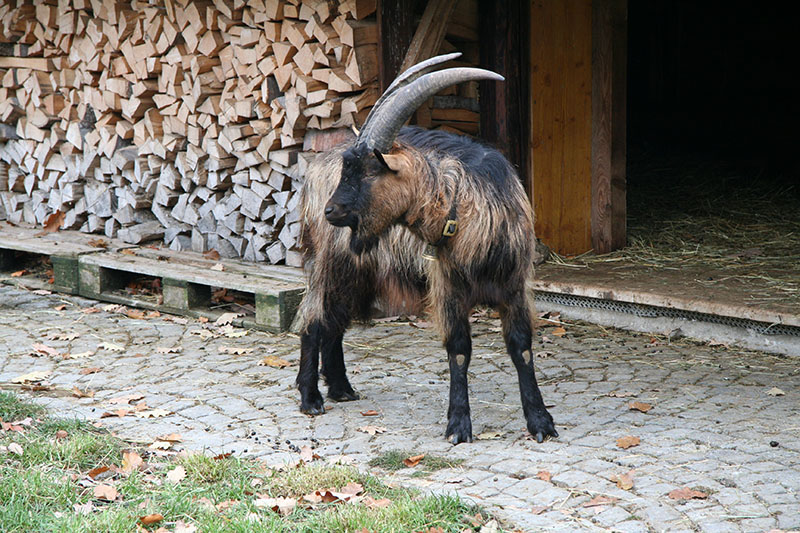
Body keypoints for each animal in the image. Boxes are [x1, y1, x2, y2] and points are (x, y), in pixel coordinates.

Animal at [294, 55, 556, 444]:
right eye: (348, 169)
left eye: (368, 171)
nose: (332, 211)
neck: (463, 207)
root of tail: (312, 174)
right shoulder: (448, 288)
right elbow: (459, 351)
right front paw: (458, 425)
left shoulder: (514, 286)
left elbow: (521, 347)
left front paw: (540, 422)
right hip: (332, 261)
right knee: (315, 320)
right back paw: (311, 398)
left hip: (359, 271)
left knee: (334, 323)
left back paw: (341, 389)